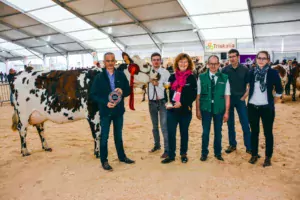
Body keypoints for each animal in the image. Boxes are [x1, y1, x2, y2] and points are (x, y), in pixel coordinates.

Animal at [11, 66, 157, 157]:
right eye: (139, 69)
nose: (156, 75)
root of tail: (17, 74)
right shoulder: (92, 114)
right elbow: (97, 134)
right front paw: (98, 153)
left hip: (39, 113)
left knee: (40, 129)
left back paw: (46, 147)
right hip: (23, 113)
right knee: (22, 130)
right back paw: (25, 151)